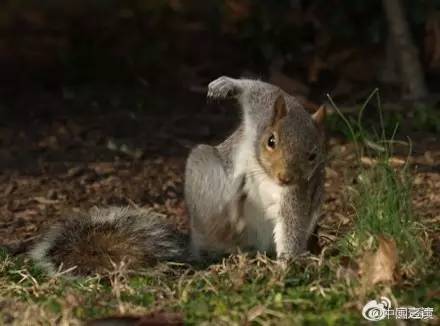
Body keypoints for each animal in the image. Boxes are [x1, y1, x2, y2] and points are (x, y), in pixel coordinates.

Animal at [26, 76, 324, 276]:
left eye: (313, 155)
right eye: (271, 141)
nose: (285, 177)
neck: (264, 171)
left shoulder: (297, 192)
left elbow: (292, 224)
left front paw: (288, 264)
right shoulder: (262, 108)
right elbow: (255, 88)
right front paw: (225, 85)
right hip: (203, 172)